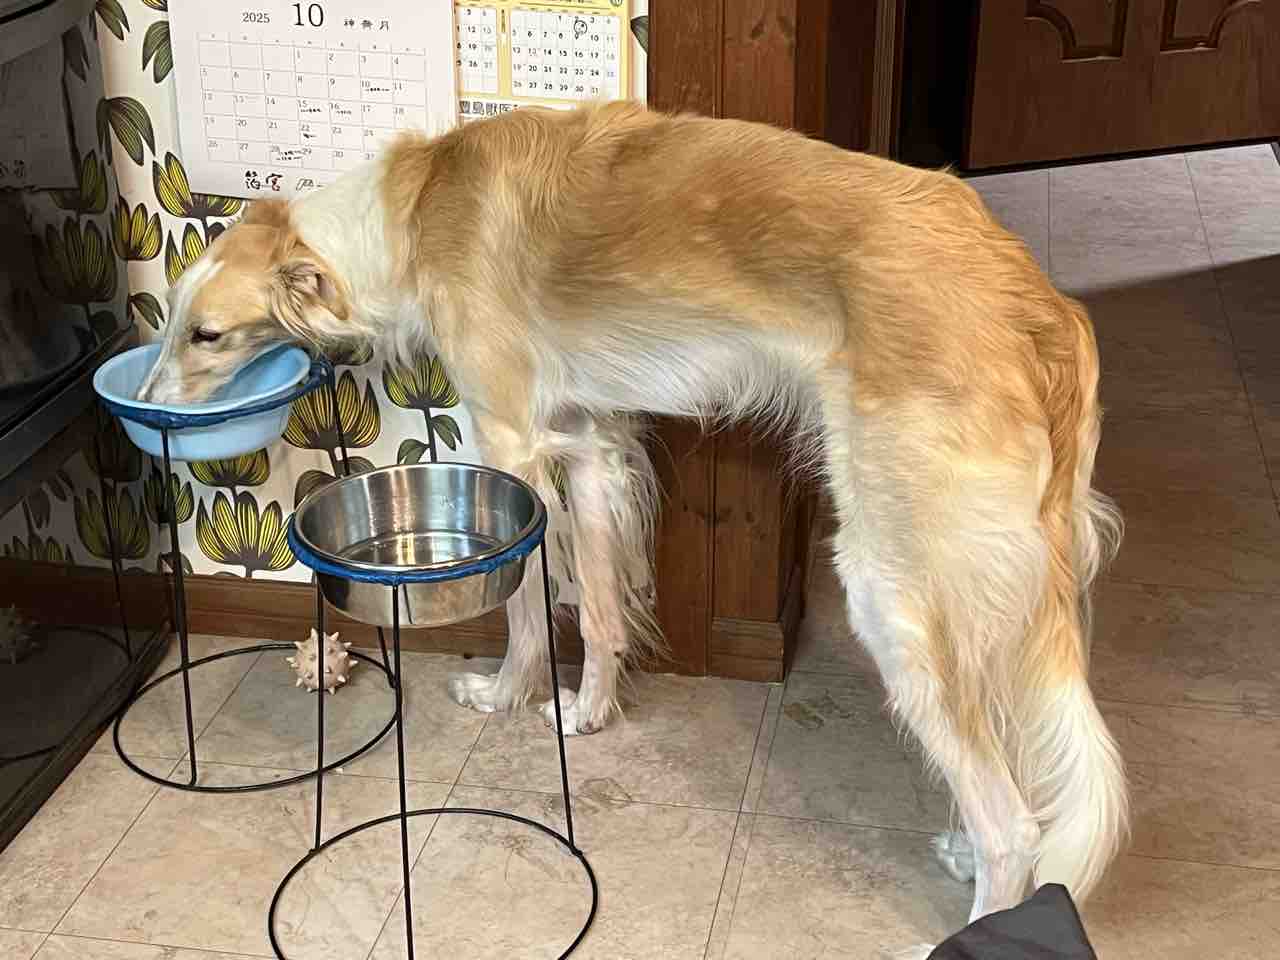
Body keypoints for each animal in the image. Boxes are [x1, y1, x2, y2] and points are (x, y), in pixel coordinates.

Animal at [137, 100, 1128, 928]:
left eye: (207, 335)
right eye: (170, 318)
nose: (143, 415)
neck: (413, 214)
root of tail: (1039, 303)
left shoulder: (511, 449)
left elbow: (531, 611)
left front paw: (505, 697)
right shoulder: (593, 446)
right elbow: (604, 611)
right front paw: (587, 715)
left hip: (897, 586)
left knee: (1015, 826)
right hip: (979, 593)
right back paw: (961, 853)